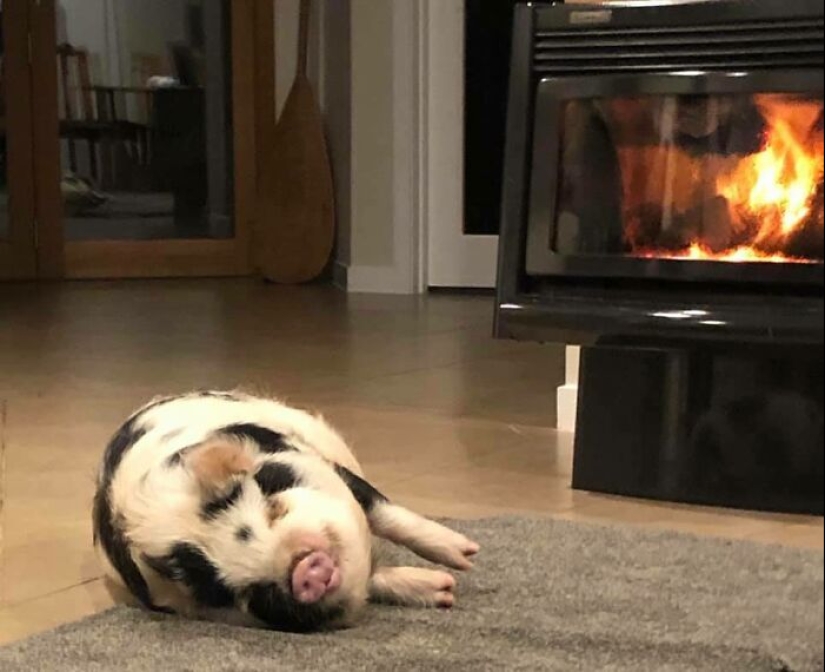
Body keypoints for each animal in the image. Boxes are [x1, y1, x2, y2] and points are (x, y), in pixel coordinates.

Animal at [92, 391, 480, 633]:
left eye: (273, 508)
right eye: (227, 591)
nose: (305, 570)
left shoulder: (320, 463)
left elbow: (384, 511)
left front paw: (467, 557)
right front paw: (446, 591)